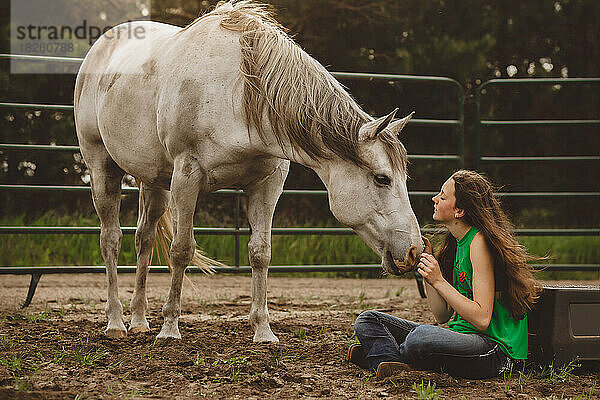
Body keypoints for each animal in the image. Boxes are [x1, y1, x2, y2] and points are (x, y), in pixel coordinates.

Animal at [74, 0, 422, 344]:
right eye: (382, 178)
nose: (414, 250)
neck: (236, 92)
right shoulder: (187, 175)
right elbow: (182, 249)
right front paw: (170, 328)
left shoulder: (267, 183)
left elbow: (260, 253)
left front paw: (263, 331)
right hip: (102, 168)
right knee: (111, 239)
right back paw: (116, 322)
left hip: (154, 181)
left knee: (143, 239)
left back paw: (138, 321)